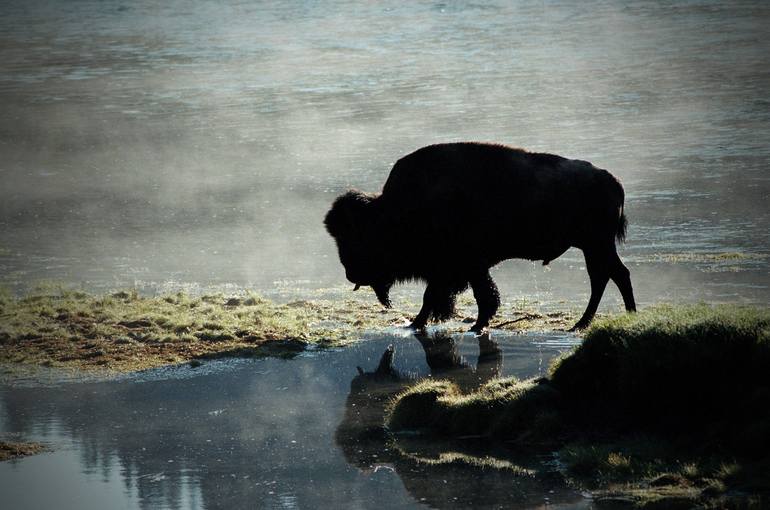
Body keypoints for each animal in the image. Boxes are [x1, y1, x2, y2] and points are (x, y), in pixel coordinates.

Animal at [320, 143, 632, 332]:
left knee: (609, 276)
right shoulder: (460, 269)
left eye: (357, 235)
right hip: (594, 247)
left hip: (596, 246)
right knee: (612, 275)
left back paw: (594, 321)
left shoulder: (461, 266)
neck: (395, 210)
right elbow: (456, 295)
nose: (350, 273)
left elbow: (469, 296)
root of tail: (614, 181)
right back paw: (602, 320)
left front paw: (469, 326)